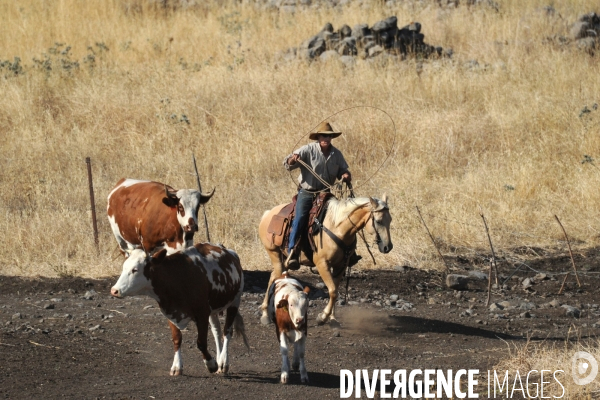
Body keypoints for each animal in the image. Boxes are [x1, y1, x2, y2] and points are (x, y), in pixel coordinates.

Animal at [110, 242, 248, 376]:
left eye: (135, 269)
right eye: (124, 267)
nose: (114, 290)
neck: (177, 278)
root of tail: (229, 251)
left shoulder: (202, 314)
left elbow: (201, 343)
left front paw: (211, 364)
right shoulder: (171, 313)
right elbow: (177, 339)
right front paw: (177, 366)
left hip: (235, 301)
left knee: (227, 331)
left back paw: (223, 363)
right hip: (213, 309)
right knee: (217, 331)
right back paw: (219, 360)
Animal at [258, 195, 394, 326]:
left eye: (390, 220)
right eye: (378, 221)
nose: (388, 247)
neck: (338, 229)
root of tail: (267, 214)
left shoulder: (341, 266)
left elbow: (335, 290)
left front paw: (333, 319)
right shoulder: (322, 264)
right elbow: (333, 291)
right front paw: (322, 317)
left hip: (284, 260)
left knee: (274, 276)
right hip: (274, 254)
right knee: (274, 277)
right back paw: (266, 315)